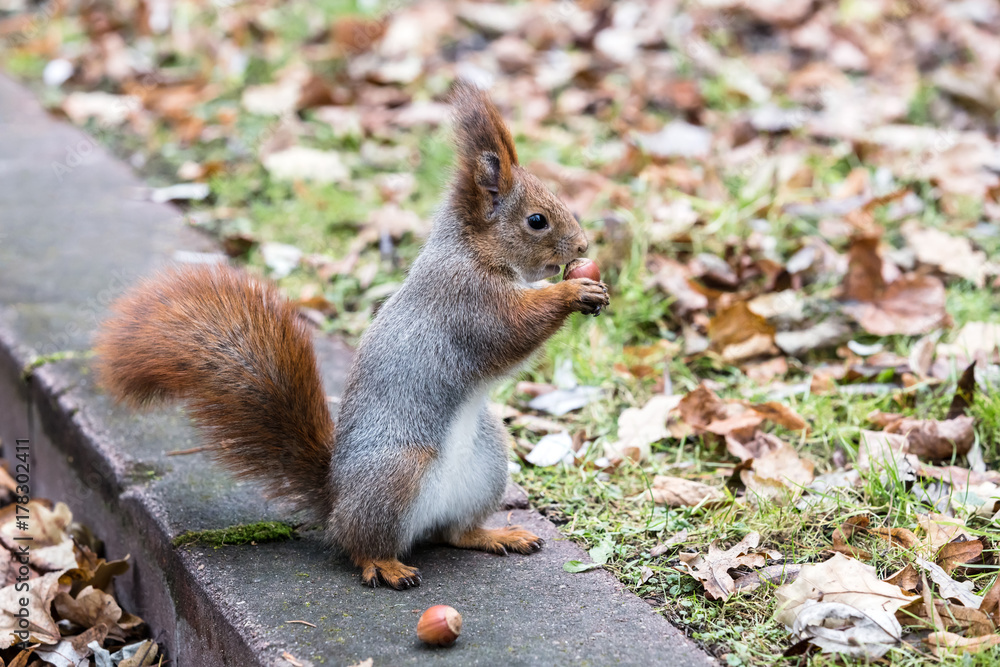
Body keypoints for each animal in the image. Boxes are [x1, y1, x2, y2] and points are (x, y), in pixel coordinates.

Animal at [94, 82, 610, 590]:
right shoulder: (465, 301)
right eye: (537, 220)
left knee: (453, 532)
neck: (472, 251)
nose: (583, 246)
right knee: (360, 545)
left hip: (487, 462)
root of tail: (336, 502)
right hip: (397, 472)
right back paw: (384, 565)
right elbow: (511, 329)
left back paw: (497, 535)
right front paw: (573, 291)